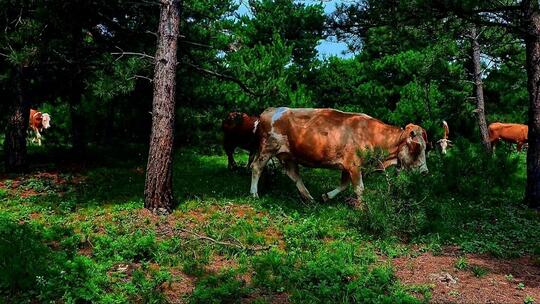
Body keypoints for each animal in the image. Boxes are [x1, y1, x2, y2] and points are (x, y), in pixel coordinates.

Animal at [250, 107, 430, 204]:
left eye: (425, 146)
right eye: (417, 147)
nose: (425, 172)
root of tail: (270, 110)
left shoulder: (348, 166)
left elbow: (344, 185)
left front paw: (326, 196)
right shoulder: (354, 165)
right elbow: (359, 188)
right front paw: (363, 209)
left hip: (288, 155)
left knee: (294, 176)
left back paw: (309, 198)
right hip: (267, 149)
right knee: (256, 167)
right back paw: (254, 194)